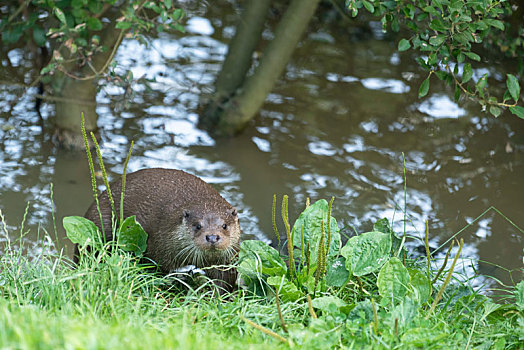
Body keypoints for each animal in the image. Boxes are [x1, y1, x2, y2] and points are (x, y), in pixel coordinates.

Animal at [78, 168, 242, 292]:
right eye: (198, 226)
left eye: (224, 226)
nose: (212, 237)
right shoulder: (159, 245)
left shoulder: (228, 262)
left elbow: (224, 283)